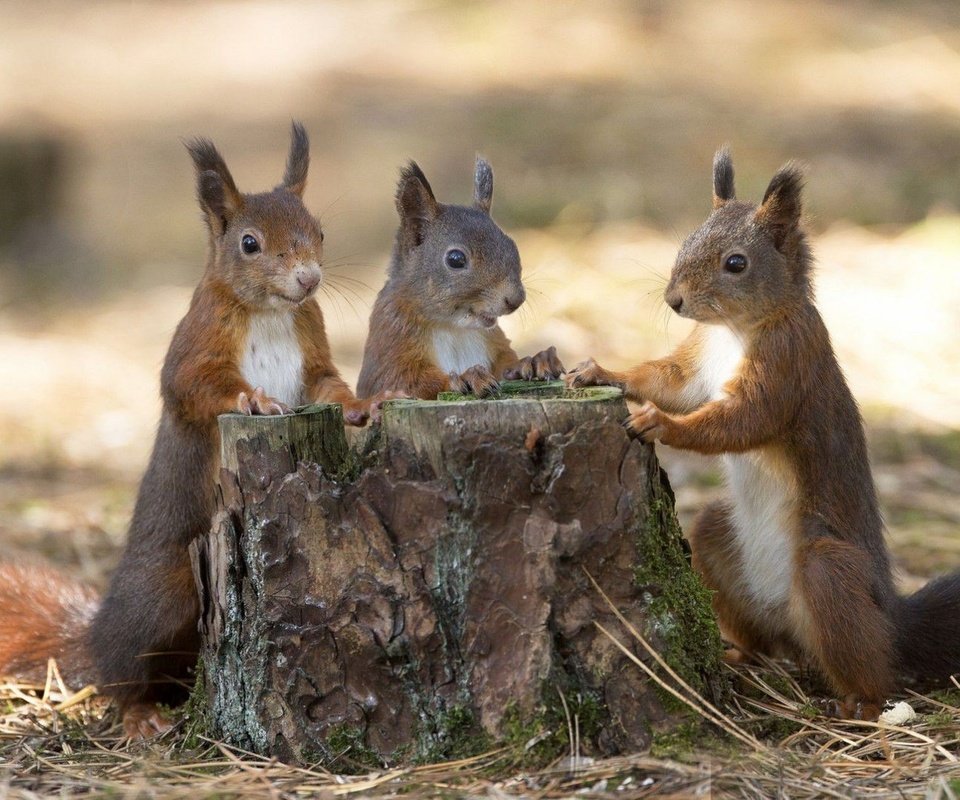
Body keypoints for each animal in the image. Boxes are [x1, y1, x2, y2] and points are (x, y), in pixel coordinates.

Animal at [0, 120, 384, 736]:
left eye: (320, 232)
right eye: (249, 243)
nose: (308, 279)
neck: (271, 313)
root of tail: (96, 630)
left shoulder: (314, 355)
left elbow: (329, 386)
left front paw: (358, 406)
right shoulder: (194, 348)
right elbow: (194, 388)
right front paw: (255, 400)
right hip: (165, 597)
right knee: (120, 674)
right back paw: (140, 715)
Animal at [356, 158, 564, 398]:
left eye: (512, 245)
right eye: (455, 259)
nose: (515, 299)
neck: (454, 328)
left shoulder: (494, 342)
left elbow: (505, 365)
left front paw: (533, 362)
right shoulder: (390, 341)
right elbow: (401, 382)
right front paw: (466, 377)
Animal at [568, 148, 960, 720]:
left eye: (736, 263)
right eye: (686, 240)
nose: (674, 300)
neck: (734, 330)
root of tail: (891, 615)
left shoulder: (786, 364)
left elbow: (742, 420)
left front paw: (660, 424)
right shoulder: (696, 363)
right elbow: (669, 382)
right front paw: (602, 372)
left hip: (828, 573)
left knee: (872, 664)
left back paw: (860, 705)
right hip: (718, 539)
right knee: (759, 628)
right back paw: (739, 654)